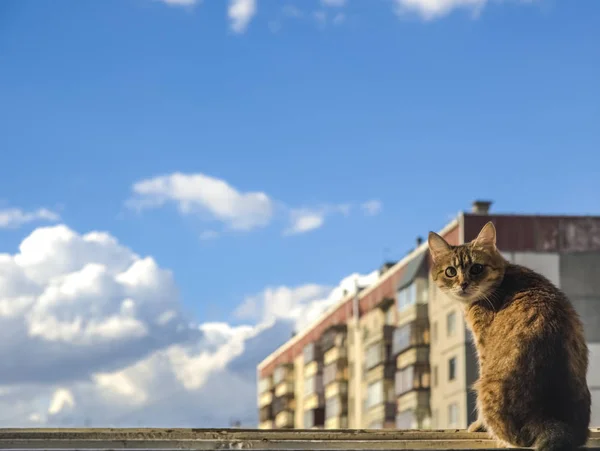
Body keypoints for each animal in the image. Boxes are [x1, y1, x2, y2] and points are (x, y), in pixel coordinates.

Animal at [426, 222, 592, 451]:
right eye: (450, 271)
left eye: (476, 268)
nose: (463, 284)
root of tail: (550, 420)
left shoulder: (483, 345)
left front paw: (478, 425)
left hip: (485, 386)